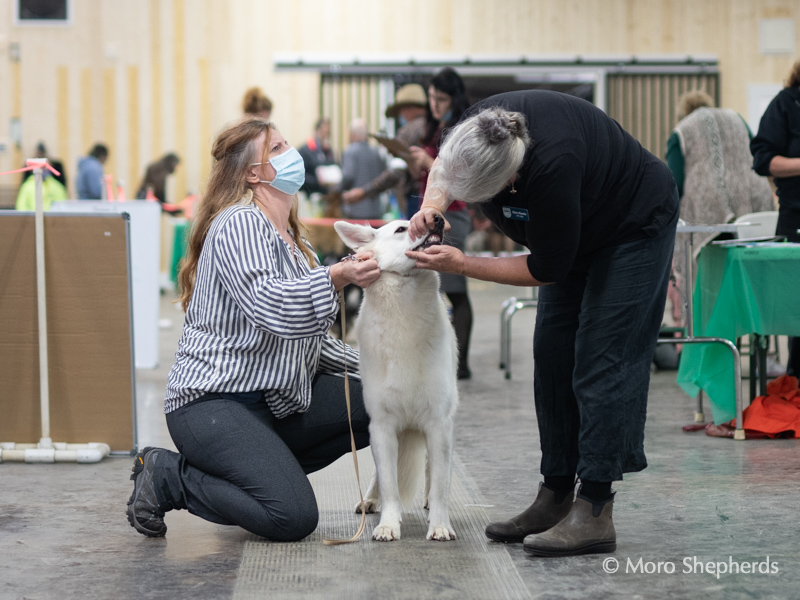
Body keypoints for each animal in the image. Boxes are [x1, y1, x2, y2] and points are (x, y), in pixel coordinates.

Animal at [332, 217, 456, 544]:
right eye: (401, 229)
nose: (437, 218)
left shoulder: (438, 423)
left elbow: (440, 483)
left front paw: (440, 525)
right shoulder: (382, 425)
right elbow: (388, 481)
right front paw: (388, 524)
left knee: (431, 472)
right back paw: (371, 499)